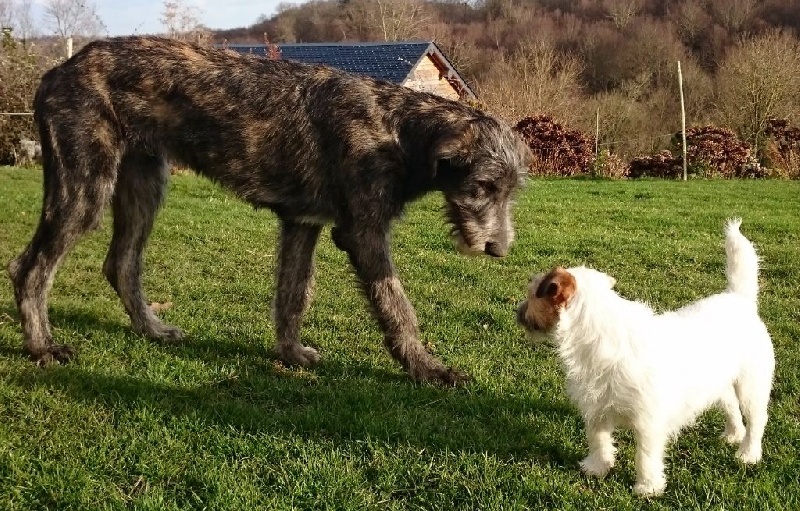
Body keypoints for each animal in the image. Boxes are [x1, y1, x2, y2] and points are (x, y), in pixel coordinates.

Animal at [7, 38, 532, 386]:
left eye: (511, 191)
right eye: (483, 187)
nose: (499, 250)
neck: (397, 130)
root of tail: (57, 70)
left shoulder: (302, 223)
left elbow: (293, 294)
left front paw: (290, 353)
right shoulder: (363, 232)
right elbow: (396, 305)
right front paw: (427, 367)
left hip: (144, 184)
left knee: (121, 263)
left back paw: (152, 329)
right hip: (84, 186)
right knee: (29, 267)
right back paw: (42, 346)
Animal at [520, 220, 776, 496]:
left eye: (532, 294)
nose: (517, 311)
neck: (599, 334)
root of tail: (740, 299)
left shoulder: (648, 421)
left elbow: (645, 455)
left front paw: (647, 487)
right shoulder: (597, 409)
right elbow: (598, 440)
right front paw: (597, 467)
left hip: (752, 385)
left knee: (757, 418)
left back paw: (748, 453)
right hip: (719, 382)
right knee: (730, 405)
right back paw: (733, 434)